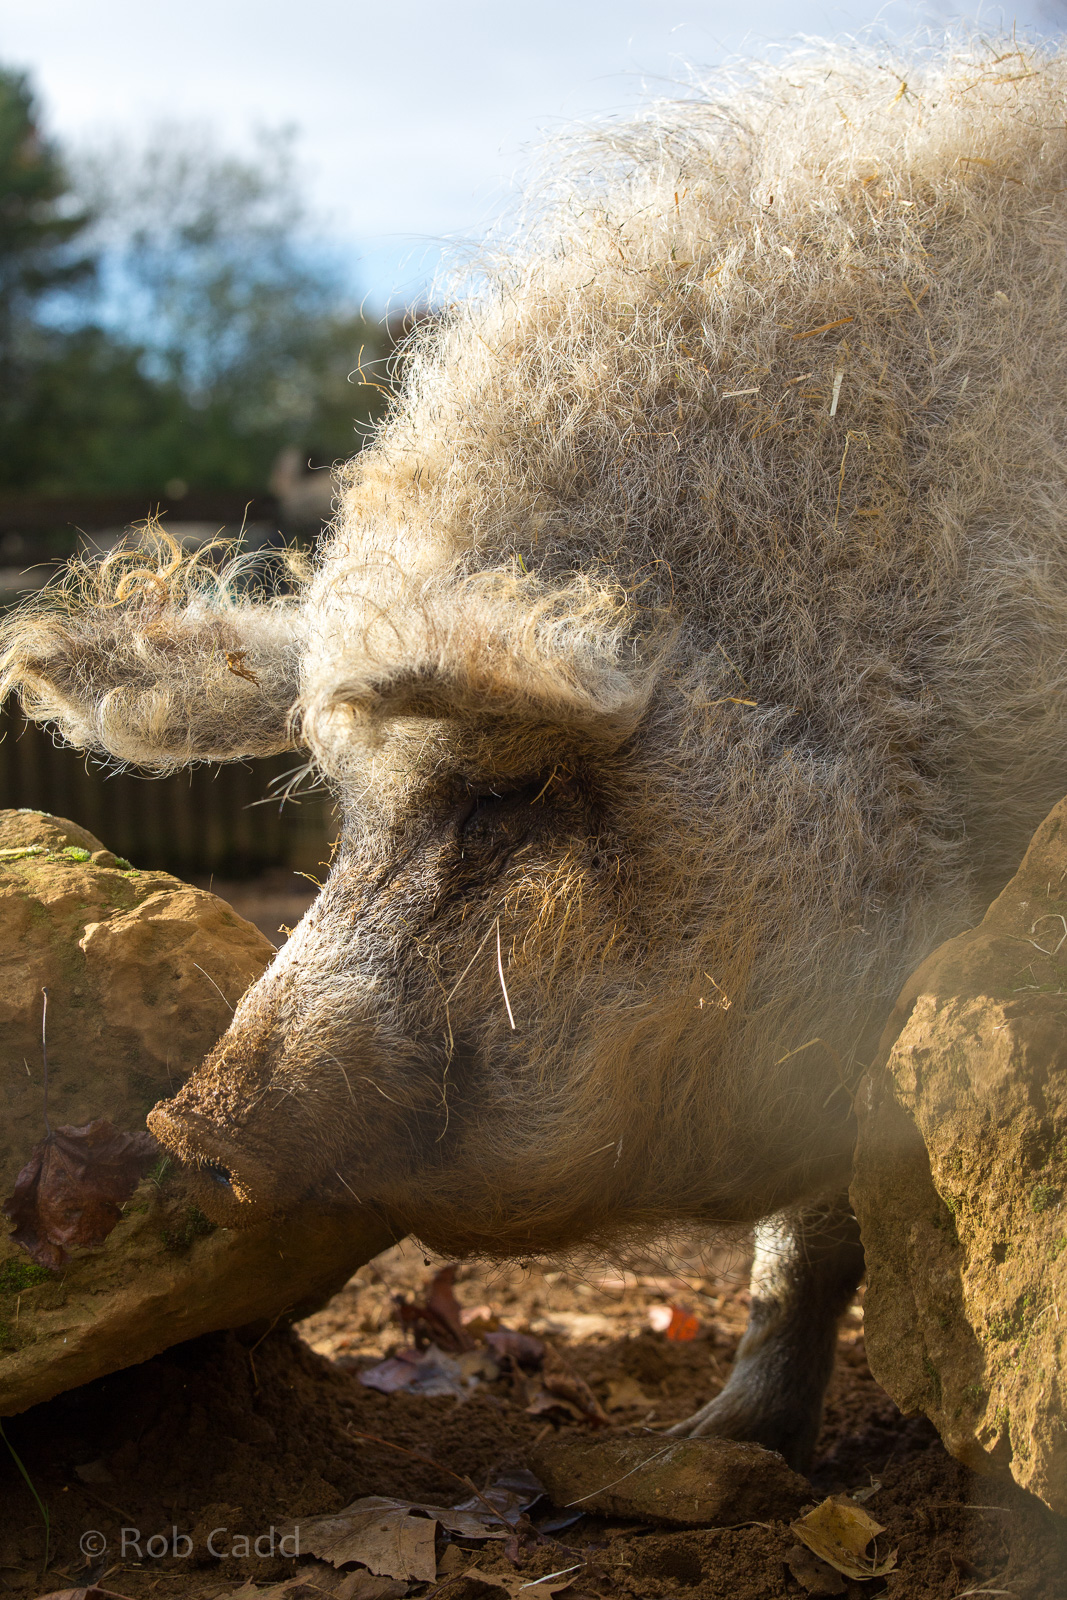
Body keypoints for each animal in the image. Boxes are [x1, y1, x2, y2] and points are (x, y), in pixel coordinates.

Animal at [5, 41, 1067, 1471]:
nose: (190, 1122)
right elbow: (801, 1235)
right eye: (344, 807)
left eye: (507, 788)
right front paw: (695, 1446)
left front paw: (704, 1453)